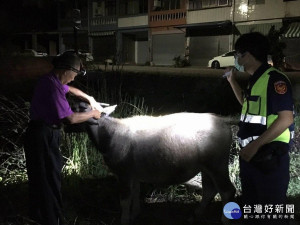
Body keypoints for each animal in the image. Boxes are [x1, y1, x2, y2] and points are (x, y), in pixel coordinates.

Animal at [73, 102, 237, 225]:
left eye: (85, 109)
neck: (110, 134)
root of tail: (223, 122)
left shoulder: (124, 174)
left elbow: (124, 200)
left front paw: (125, 220)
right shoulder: (134, 174)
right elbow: (136, 193)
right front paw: (135, 214)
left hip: (217, 165)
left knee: (227, 191)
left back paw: (224, 221)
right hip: (206, 167)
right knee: (209, 190)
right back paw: (194, 216)